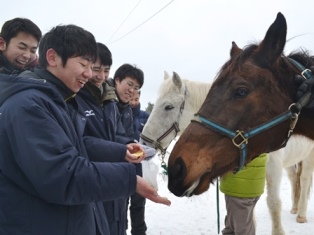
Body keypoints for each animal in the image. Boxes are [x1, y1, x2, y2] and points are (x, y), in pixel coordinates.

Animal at [141, 71, 314, 235]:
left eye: (168, 107)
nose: (143, 141)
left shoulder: (274, 167)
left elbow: (274, 204)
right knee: (294, 179)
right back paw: (295, 208)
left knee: (304, 180)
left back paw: (301, 215)